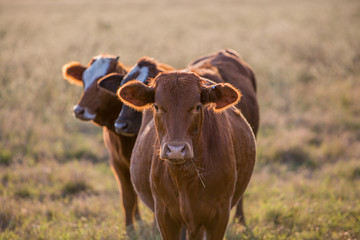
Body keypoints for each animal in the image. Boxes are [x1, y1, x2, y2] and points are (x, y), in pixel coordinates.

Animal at [62, 54, 141, 231]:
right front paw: (130, 228)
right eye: (84, 81)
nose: (79, 110)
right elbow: (128, 197)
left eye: (101, 84)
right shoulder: (117, 162)